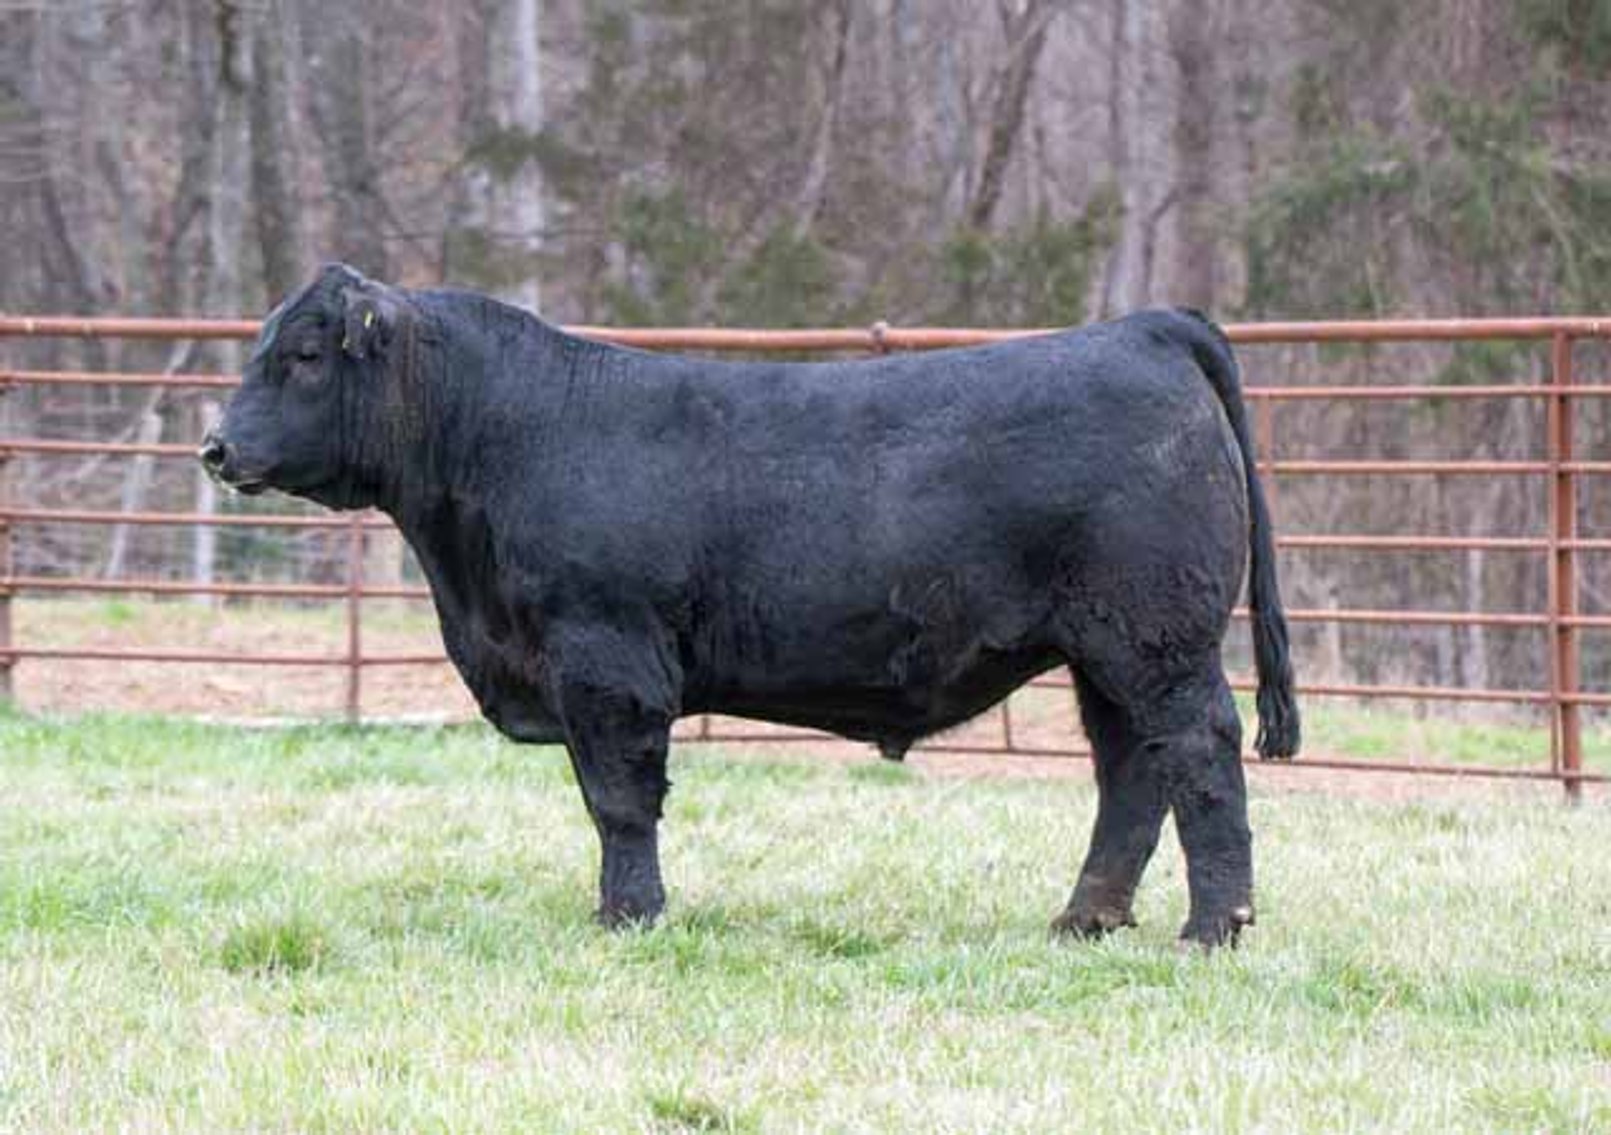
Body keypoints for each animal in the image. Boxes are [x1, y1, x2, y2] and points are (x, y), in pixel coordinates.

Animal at [201, 263, 1299, 947]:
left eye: (305, 355)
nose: (216, 446)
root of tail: (1142, 330)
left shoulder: (607, 659)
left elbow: (619, 799)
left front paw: (629, 917)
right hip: (1104, 651)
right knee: (1130, 774)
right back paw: (1084, 919)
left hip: (1157, 640)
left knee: (1198, 755)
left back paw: (1213, 928)